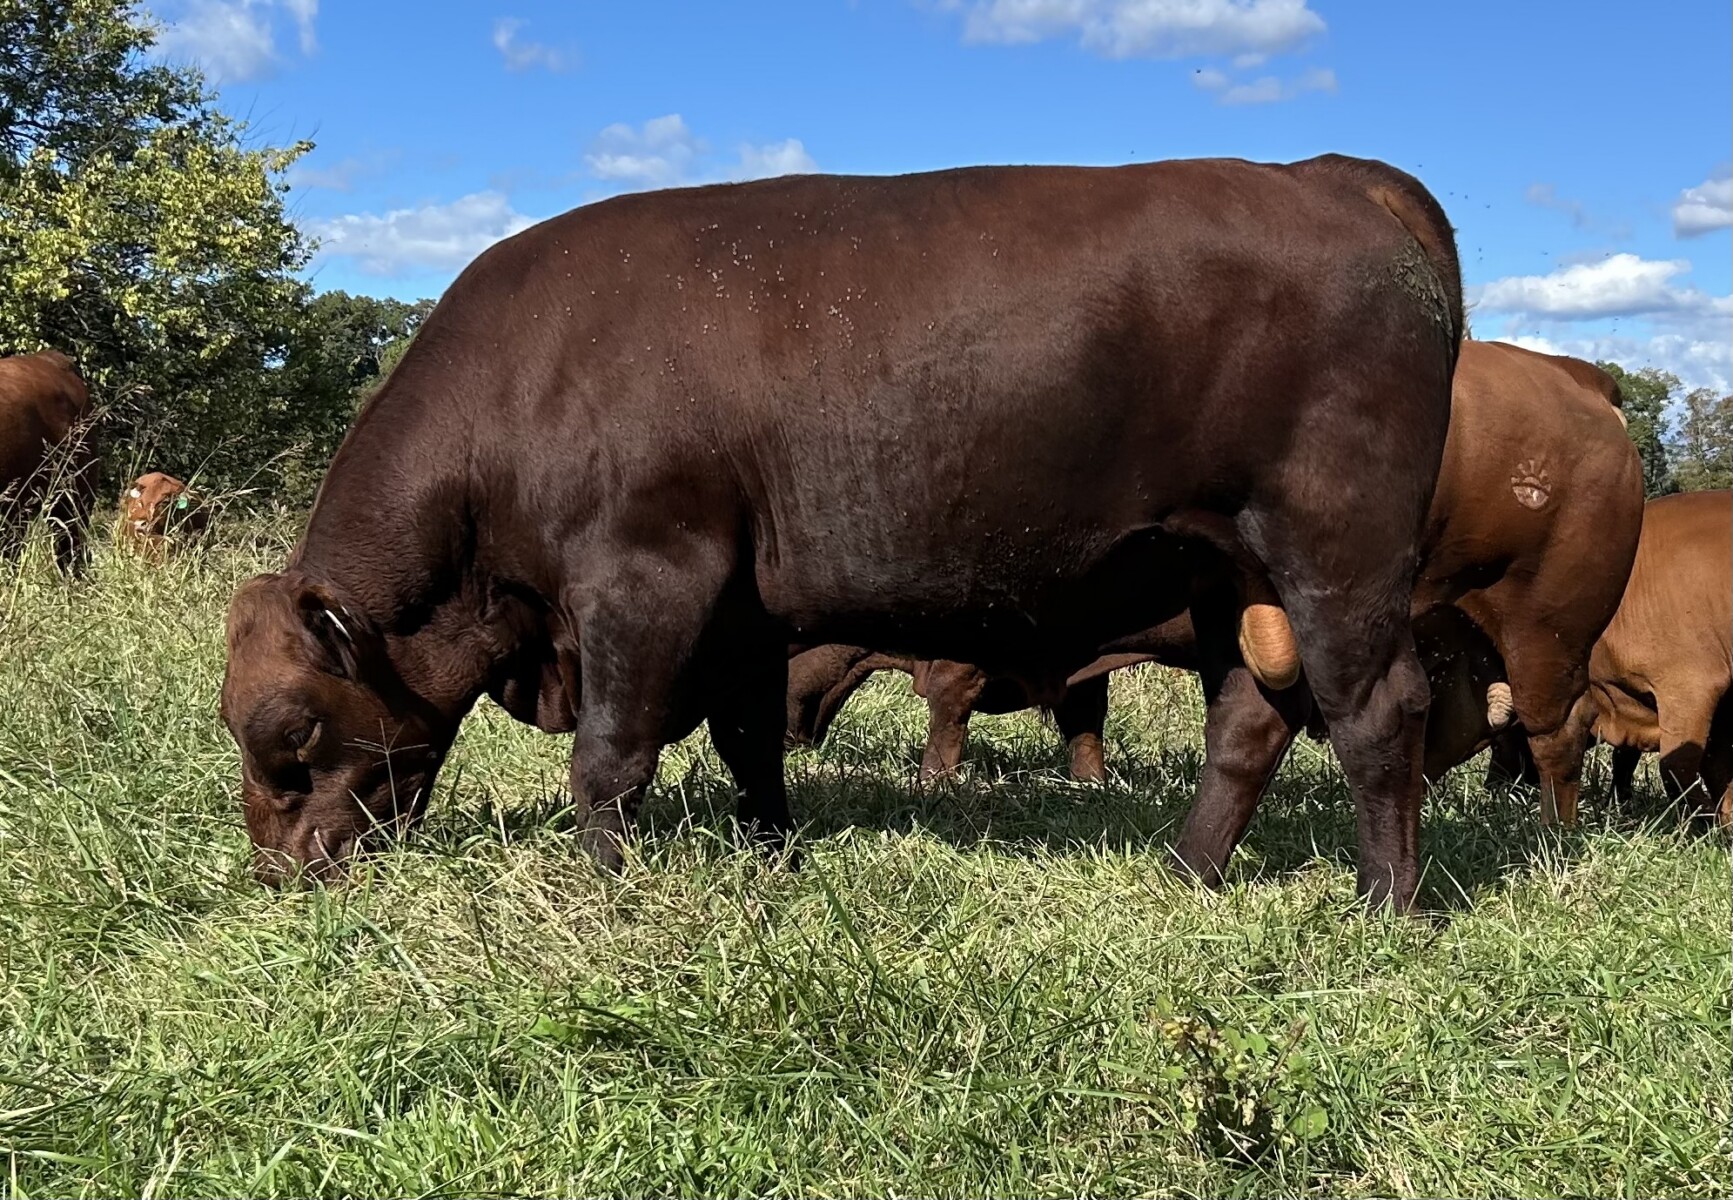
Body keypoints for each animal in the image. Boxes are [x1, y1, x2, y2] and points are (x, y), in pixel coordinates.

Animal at [221, 155, 1464, 912]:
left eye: (293, 733)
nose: (278, 874)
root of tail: (1331, 177)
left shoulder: (643, 581)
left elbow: (609, 760)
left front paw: (603, 885)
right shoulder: (738, 611)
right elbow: (750, 744)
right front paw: (769, 856)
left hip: (1336, 548)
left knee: (1373, 710)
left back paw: (1383, 906)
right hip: (1224, 569)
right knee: (1248, 717)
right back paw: (1184, 871)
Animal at [791, 340, 1644, 842]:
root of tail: (1576, 378)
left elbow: (950, 714)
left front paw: (935, 781)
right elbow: (1081, 722)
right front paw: (1088, 784)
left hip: (1544, 625)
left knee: (1553, 731)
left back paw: (1553, 837)